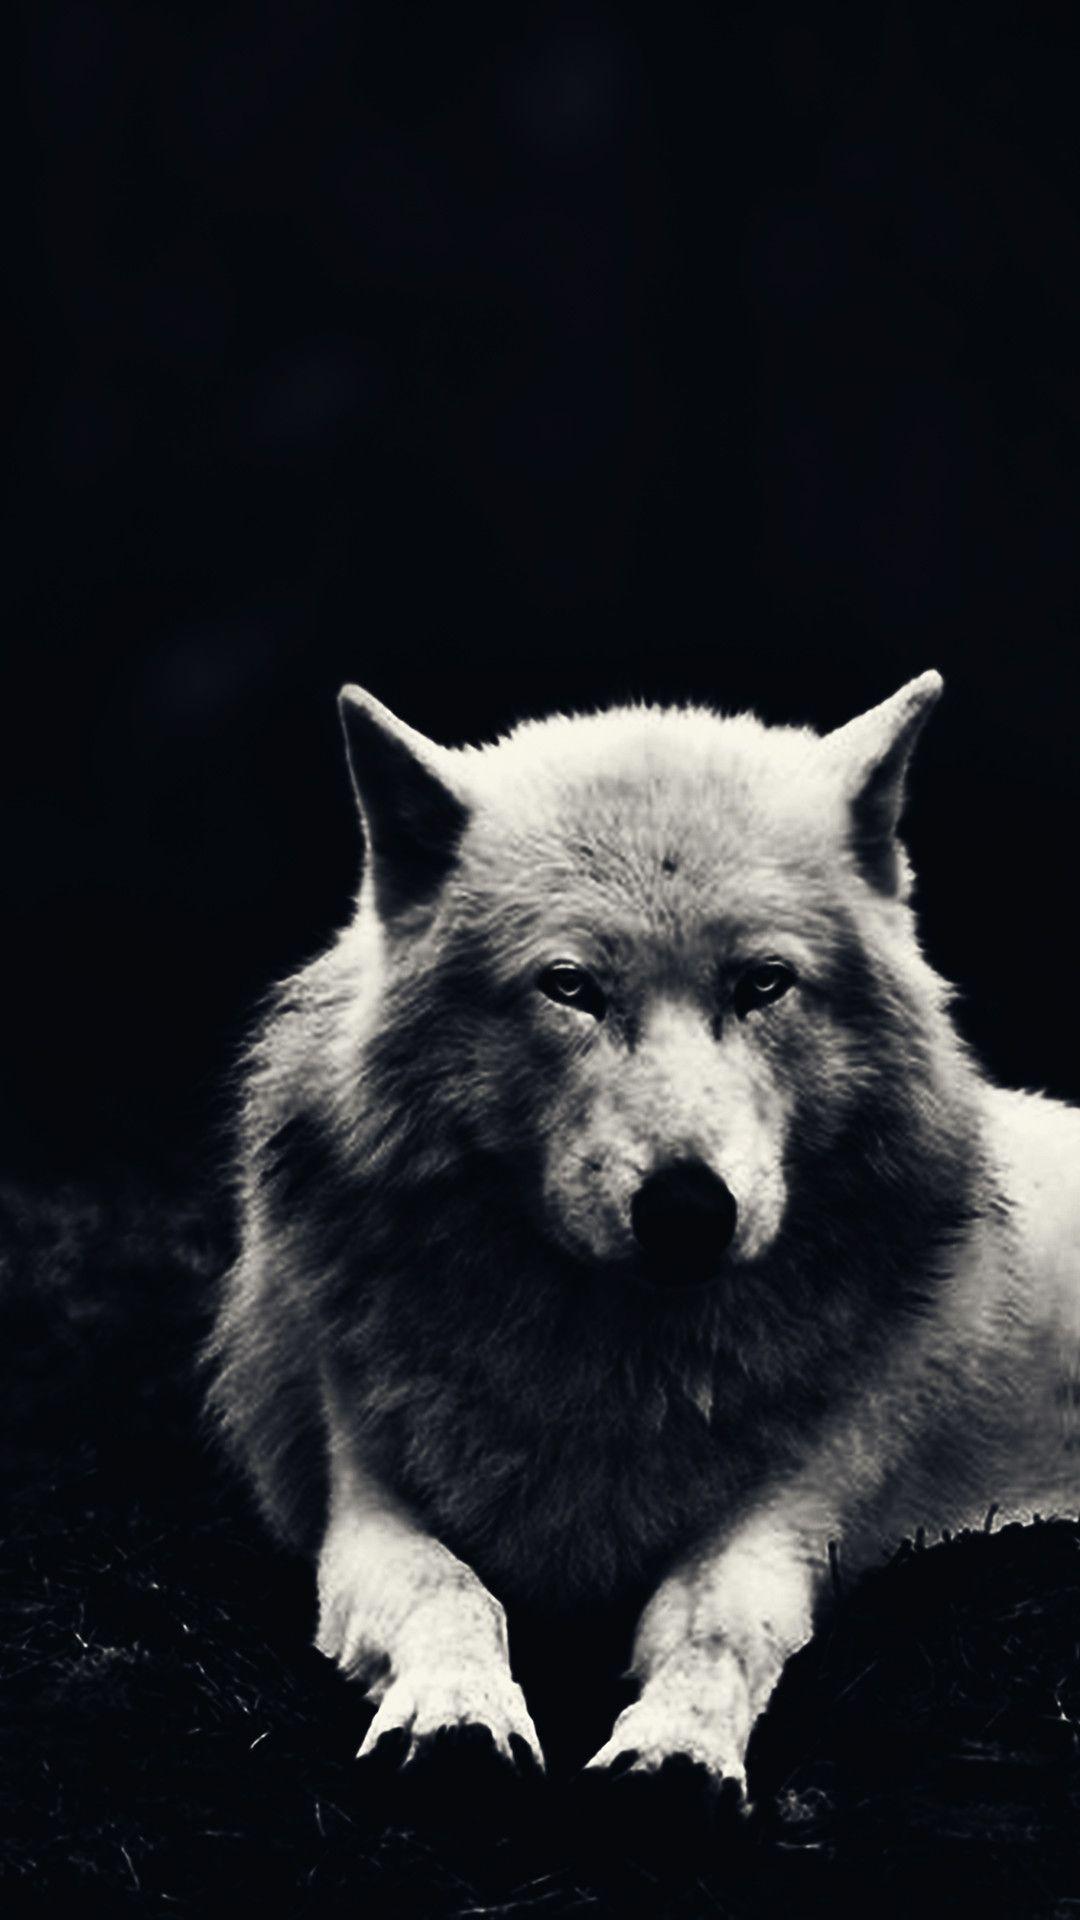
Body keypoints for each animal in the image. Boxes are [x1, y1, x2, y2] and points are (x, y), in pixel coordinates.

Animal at [207, 671, 1080, 1792]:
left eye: (763, 983)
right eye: (571, 986)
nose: (688, 1211)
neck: (616, 1367)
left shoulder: (796, 1511)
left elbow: (719, 1624)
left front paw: (676, 1747)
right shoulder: (362, 1501)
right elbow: (452, 1591)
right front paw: (457, 1715)